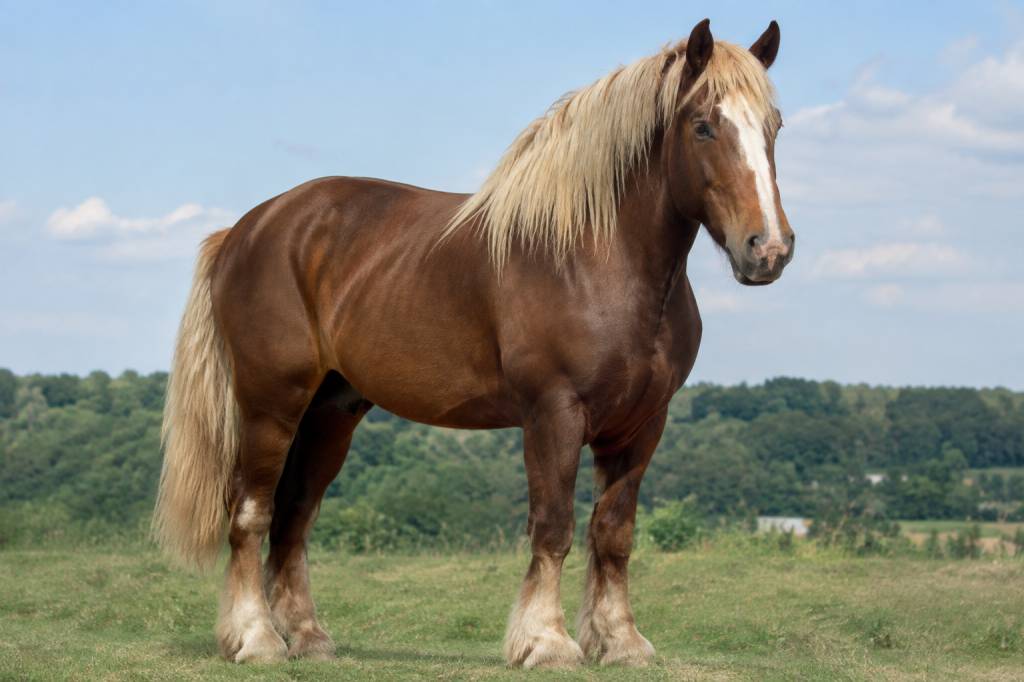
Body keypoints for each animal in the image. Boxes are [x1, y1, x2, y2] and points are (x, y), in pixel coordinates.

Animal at [153, 18, 794, 668]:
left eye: (774, 125)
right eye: (704, 125)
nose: (767, 249)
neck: (597, 259)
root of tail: (248, 228)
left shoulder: (641, 425)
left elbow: (613, 533)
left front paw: (620, 641)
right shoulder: (553, 414)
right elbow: (554, 527)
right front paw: (546, 641)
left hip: (330, 414)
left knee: (293, 519)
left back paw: (307, 636)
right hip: (271, 406)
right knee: (250, 513)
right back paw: (256, 638)